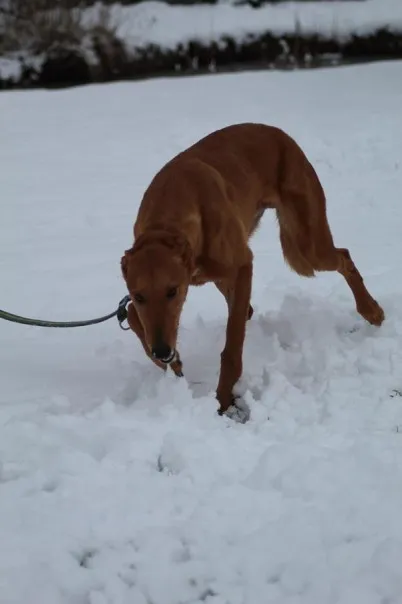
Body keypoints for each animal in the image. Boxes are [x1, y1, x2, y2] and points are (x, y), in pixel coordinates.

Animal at [121, 122, 384, 416]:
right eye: (139, 295)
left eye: (172, 291)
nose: (162, 350)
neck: (166, 220)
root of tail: (279, 132)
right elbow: (131, 313)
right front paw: (171, 362)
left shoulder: (242, 264)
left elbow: (232, 345)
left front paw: (224, 399)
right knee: (246, 308)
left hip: (307, 247)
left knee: (343, 256)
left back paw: (371, 310)